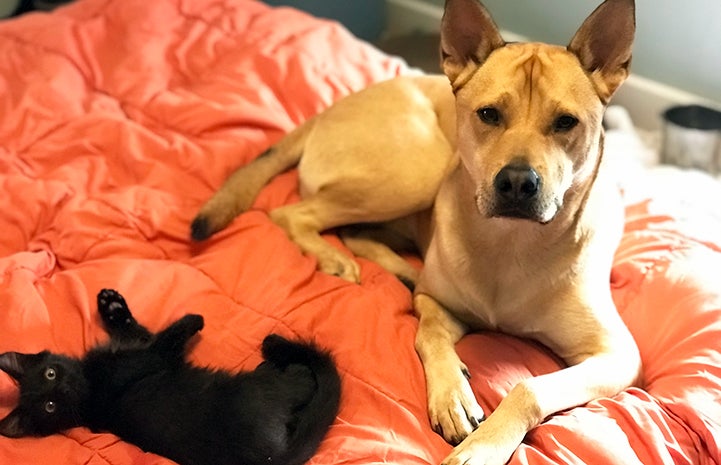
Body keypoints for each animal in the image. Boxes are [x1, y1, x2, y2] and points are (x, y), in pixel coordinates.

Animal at [0, 286, 340, 464]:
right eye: (50, 407)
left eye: (50, 373)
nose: (64, 389)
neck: (90, 385)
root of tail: (278, 458)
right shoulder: (151, 357)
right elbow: (166, 338)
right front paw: (194, 319)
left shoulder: (132, 347)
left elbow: (136, 330)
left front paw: (111, 304)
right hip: (257, 392)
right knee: (301, 381)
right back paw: (281, 361)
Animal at [188, 1, 640, 462]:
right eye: (489, 114)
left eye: (566, 122)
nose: (516, 183)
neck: (510, 243)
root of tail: (328, 110)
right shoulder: (436, 302)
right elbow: (430, 333)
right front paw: (452, 395)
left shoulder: (615, 355)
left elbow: (529, 387)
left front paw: (484, 445)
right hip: (420, 169)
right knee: (293, 214)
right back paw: (338, 258)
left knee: (350, 230)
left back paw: (394, 267)